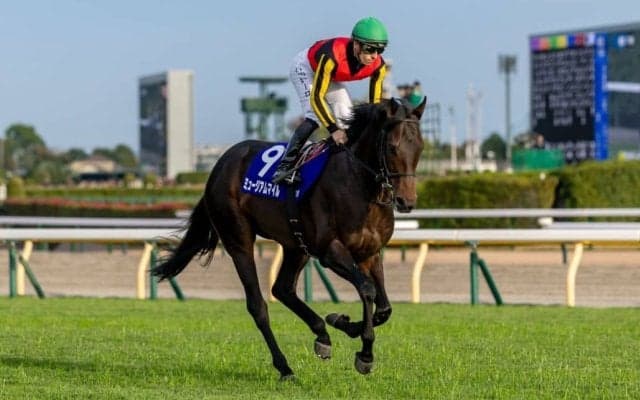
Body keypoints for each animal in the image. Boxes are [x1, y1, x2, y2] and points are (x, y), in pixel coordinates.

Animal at [152, 97, 426, 380]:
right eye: (393, 147)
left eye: (420, 147)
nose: (406, 201)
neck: (358, 185)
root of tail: (220, 165)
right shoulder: (330, 251)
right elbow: (368, 290)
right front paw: (364, 352)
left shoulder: (369, 253)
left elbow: (383, 307)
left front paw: (344, 324)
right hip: (238, 239)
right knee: (257, 305)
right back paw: (284, 366)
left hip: (296, 245)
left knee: (282, 288)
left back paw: (322, 334)